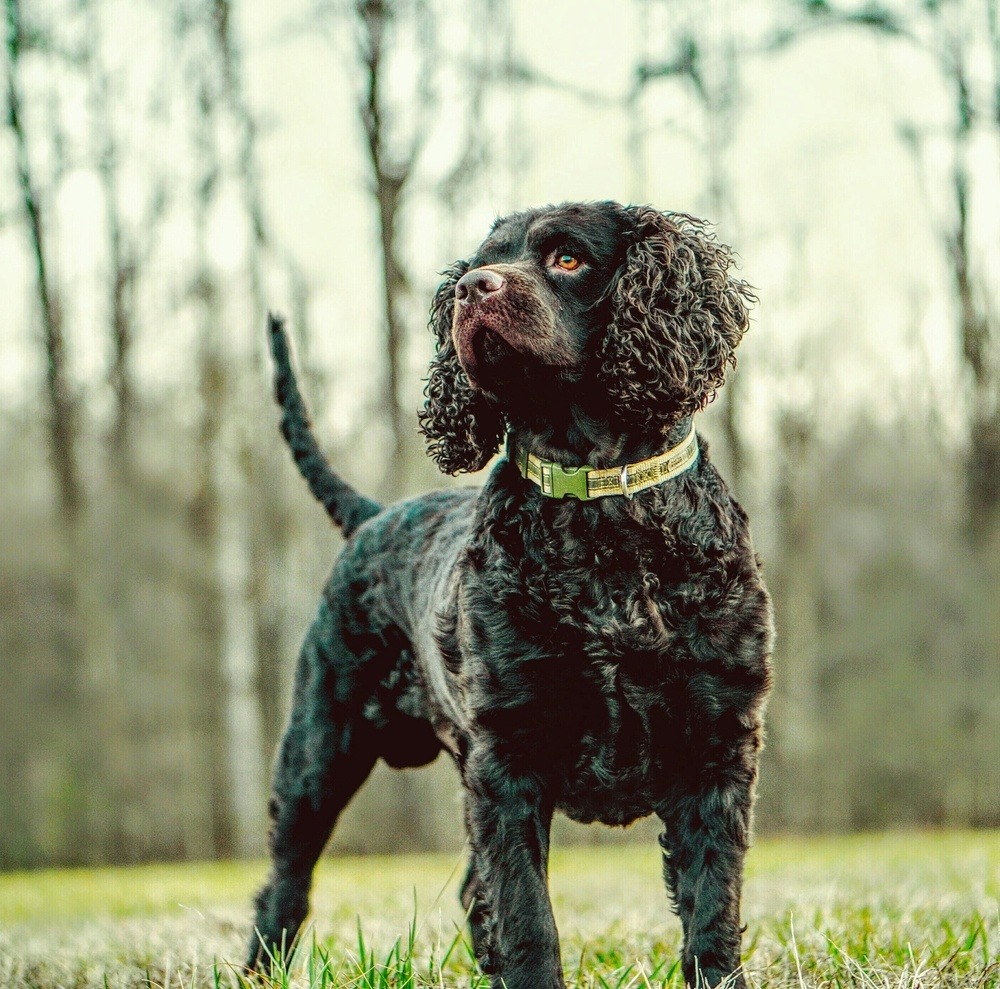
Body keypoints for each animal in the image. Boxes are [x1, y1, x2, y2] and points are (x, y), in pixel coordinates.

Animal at [244, 203, 772, 988]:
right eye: (479, 261)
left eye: (566, 258)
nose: (472, 288)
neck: (600, 520)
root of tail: (372, 514)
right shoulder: (509, 757)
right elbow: (527, 916)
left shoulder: (717, 748)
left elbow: (712, 914)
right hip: (318, 748)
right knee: (286, 884)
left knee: (470, 889)